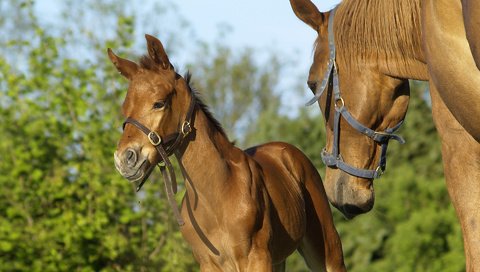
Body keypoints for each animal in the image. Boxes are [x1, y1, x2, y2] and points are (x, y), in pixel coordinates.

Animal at [108, 35, 344, 270]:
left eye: (159, 103)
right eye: (125, 108)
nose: (124, 159)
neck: (217, 195)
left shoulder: (257, 258)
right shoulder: (208, 264)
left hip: (326, 247)